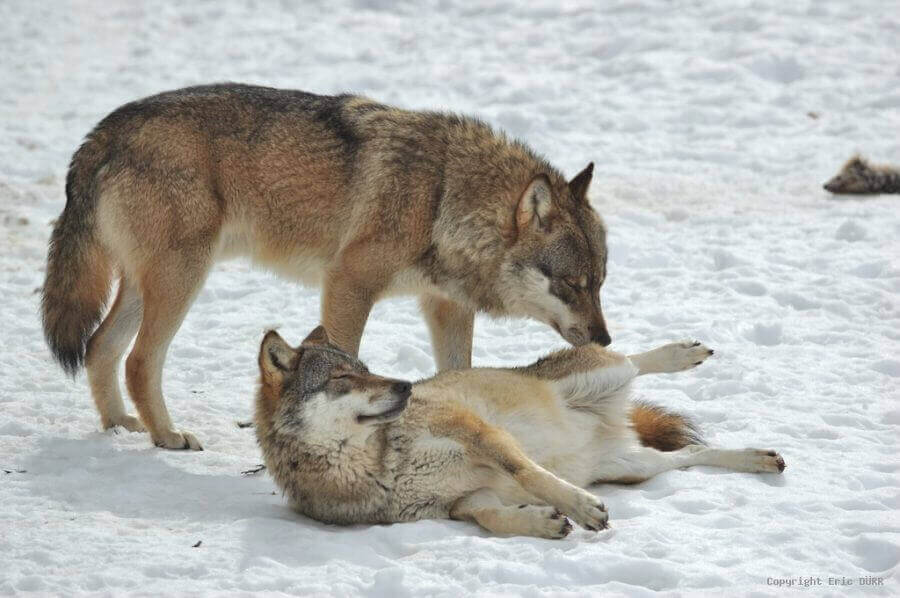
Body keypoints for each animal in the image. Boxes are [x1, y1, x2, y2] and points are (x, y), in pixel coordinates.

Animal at [41, 83, 609, 450]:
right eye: (571, 284)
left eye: (600, 283)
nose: (605, 339)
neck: (441, 197)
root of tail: (102, 132)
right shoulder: (347, 283)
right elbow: (344, 354)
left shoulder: (444, 306)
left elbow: (460, 372)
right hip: (183, 277)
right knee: (138, 359)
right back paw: (166, 436)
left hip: (149, 284)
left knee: (100, 346)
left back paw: (119, 425)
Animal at [255, 326, 786, 538]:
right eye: (344, 378)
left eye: (367, 370)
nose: (405, 385)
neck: (377, 463)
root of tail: (616, 424)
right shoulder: (462, 502)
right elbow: (493, 518)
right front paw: (544, 524)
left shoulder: (477, 431)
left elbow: (530, 473)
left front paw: (580, 508)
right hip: (637, 467)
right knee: (693, 457)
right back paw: (759, 458)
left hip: (602, 375)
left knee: (632, 360)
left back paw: (684, 353)